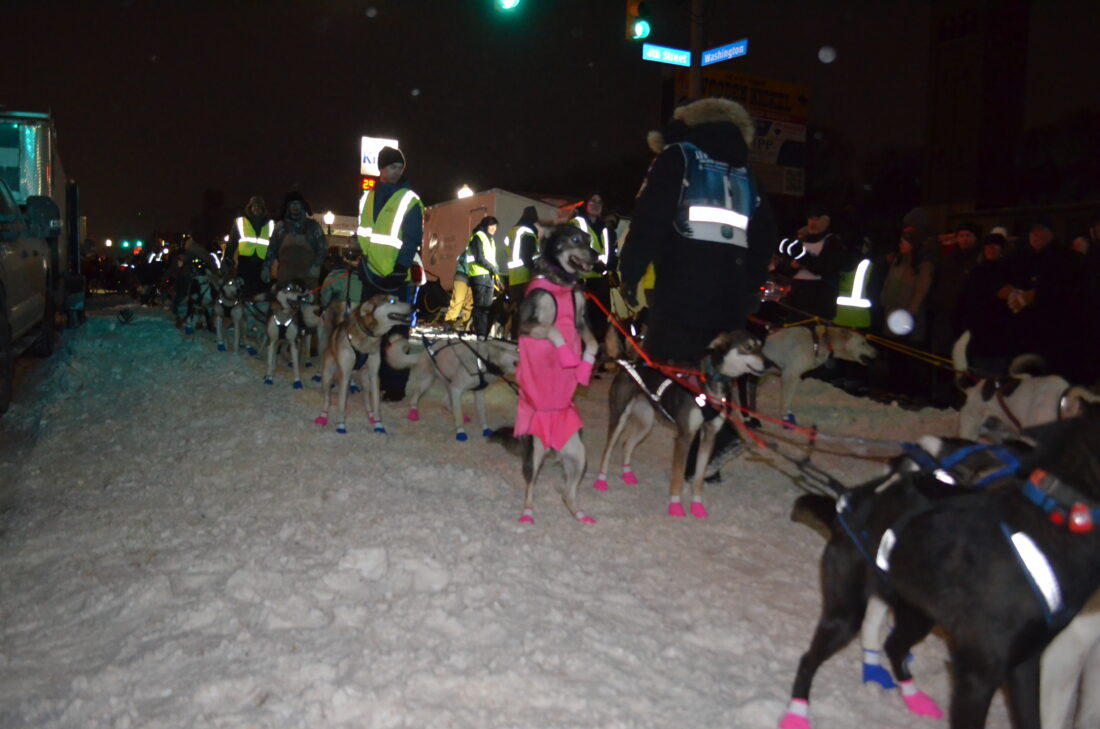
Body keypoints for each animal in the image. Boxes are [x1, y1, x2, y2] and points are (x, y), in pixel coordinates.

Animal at [314, 294, 413, 434]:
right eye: (392, 301)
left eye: (398, 299)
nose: (413, 306)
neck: (368, 336)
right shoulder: (345, 375)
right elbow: (341, 403)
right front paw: (340, 425)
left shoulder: (374, 375)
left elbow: (376, 402)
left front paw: (378, 424)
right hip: (327, 376)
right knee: (327, 398)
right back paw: (323, 415)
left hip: (366, 380)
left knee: (366, 397)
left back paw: (370, 414)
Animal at [498, 224, 598, 524]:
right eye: (575, 239)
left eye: (589, 239)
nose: (597, 256)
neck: (562, 284)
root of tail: (554, 445)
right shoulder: (526, 325)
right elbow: (554, 330)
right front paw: (566, 356)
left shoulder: (581, 323)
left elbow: (594, 345)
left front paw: (584, 368)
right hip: (535, 453)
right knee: (530, 487)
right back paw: (528, 514)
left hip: (579, 456)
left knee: (567, 493)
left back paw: (579, 514)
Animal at [594, 330, 765, 519]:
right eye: (747, 347)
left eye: (761, 346)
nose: (768, 364)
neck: (710, 386)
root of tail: (629, 362)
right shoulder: (684, 437)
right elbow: (677, 477)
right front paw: (675, 506)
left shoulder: (709, 436)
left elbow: (698, 478)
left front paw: (697, 506)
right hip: (619, 418)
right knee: (607, 451)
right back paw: (601, 481)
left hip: (646, 424)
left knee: (627, 444)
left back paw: (627, 475)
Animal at [781, 413, 1100, 729]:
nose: (991, 421)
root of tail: (851, 503)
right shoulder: (979, 673)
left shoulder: (1026, 664)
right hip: (846, 615)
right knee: (810, 658)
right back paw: (796, 713)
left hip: (918, 614)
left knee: (893, 645)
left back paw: (914, 696)